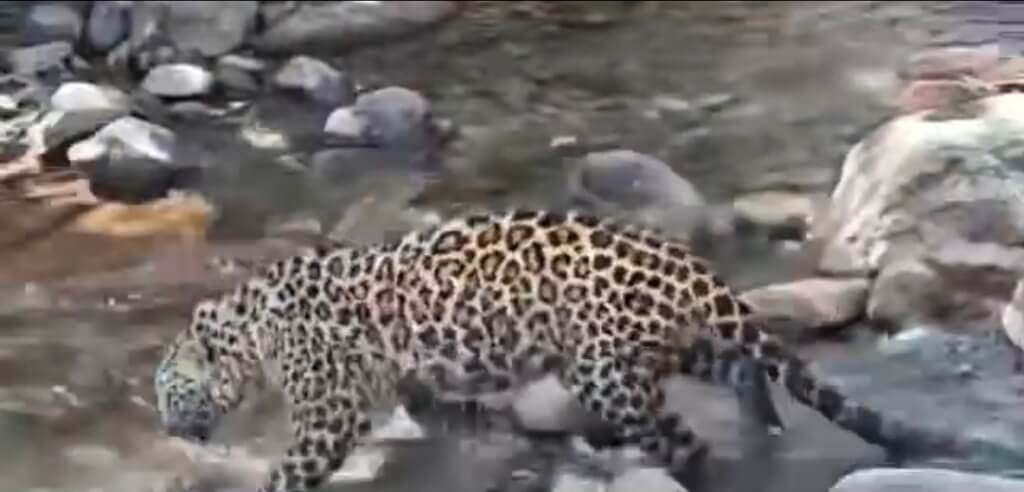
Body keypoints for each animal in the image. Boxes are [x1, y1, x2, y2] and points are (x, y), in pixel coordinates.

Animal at [154, 208, 975, 492]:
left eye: (168, 392)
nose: (164, 428)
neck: (244, 333)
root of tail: (692, 267)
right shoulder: (407, 382)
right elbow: (442, 412)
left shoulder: (327, 410)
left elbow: (294, 467)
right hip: (669, 348)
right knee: (742, 367)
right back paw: (759, 418)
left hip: (605, 375)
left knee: (683, 441)